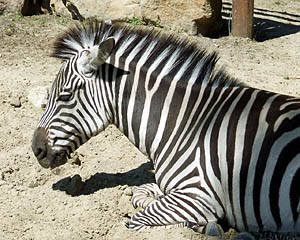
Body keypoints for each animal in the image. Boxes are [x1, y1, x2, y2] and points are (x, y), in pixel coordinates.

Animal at [31, 19, 300, 237]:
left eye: (65, 96)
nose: (36, 149)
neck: (185, 123)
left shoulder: (198, 194)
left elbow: (134, 221)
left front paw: (202, 226)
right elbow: (141, 193)